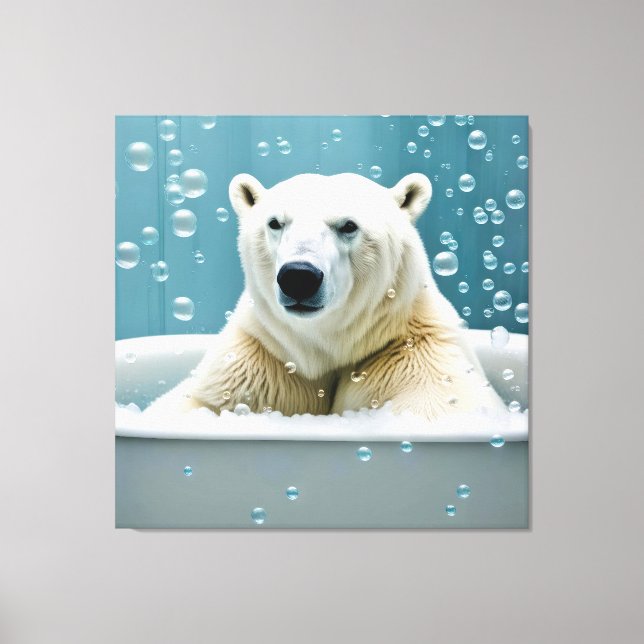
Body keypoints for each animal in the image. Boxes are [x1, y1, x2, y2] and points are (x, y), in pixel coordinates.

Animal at [164, 172, 504, 422]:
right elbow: (197, 403)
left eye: (348, 225)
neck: (326, 345)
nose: (298, 277)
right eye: (274, 222)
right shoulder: (263, 356)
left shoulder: (411, 354)